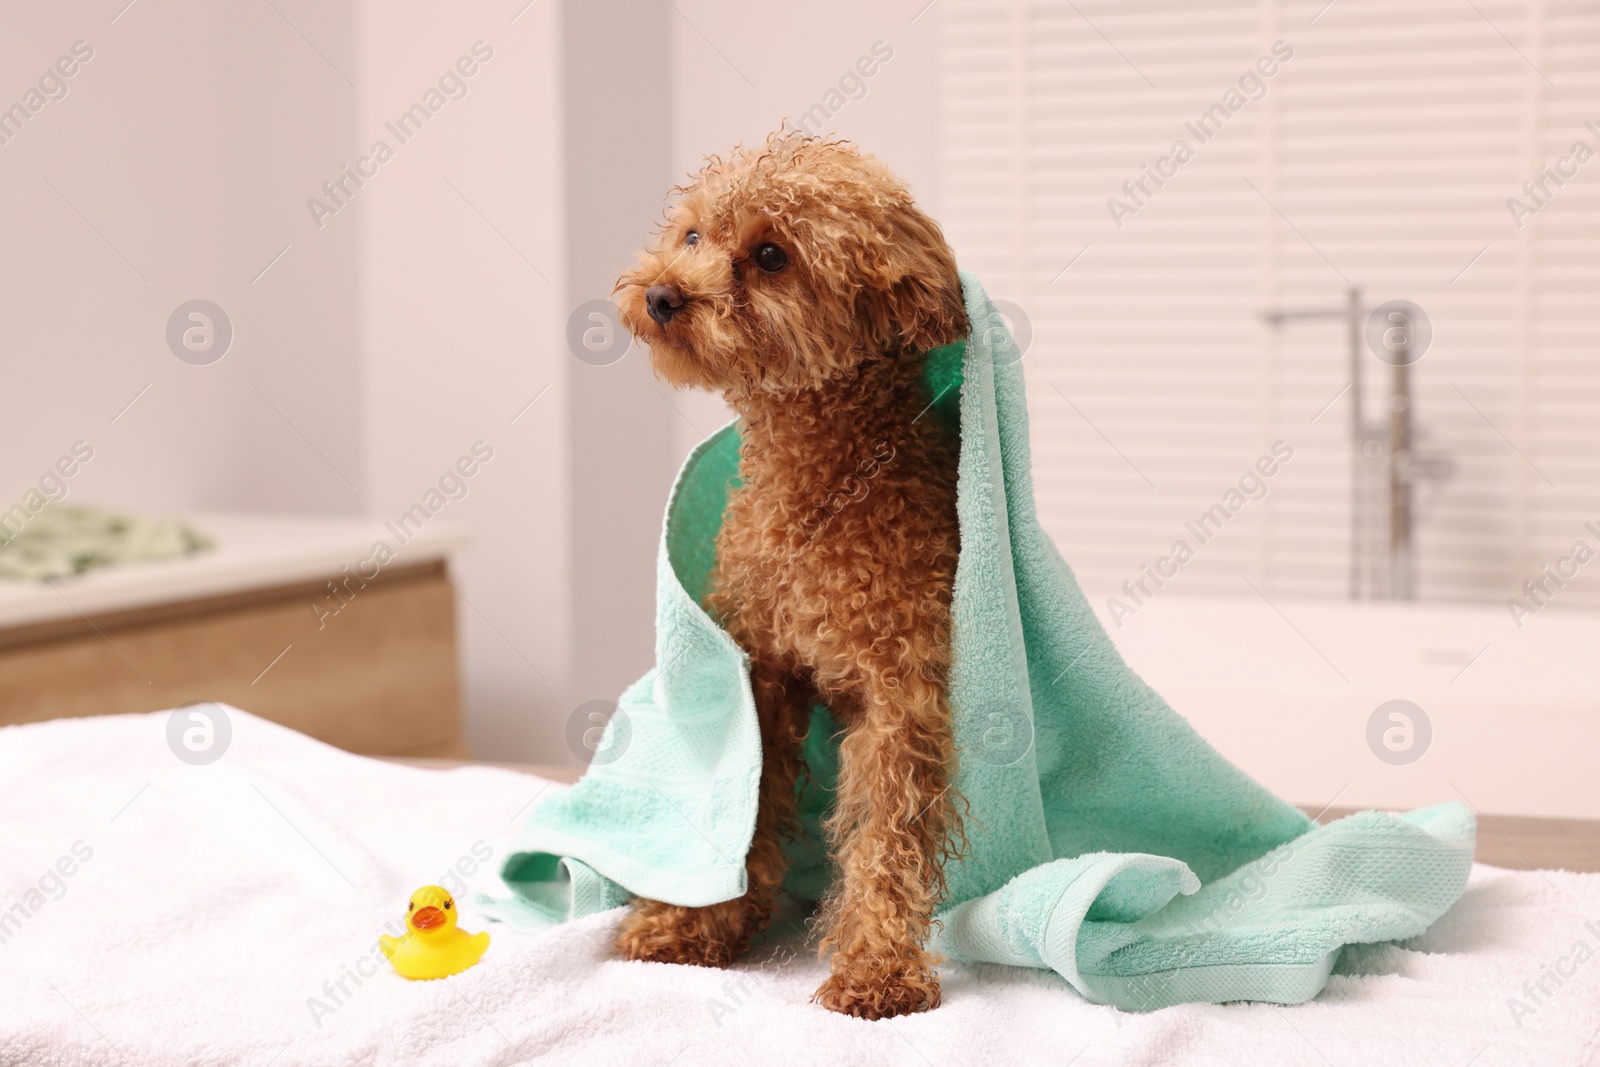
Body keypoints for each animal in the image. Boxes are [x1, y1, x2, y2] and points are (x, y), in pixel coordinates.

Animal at [608, 133, 960, 1017]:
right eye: (693, 234)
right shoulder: (760, 673)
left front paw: (877, 968)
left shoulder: (901, 693)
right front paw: (692, 924)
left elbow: (885, 835)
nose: (661, 294)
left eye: (771, 255)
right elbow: (748, 801)